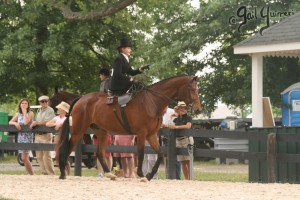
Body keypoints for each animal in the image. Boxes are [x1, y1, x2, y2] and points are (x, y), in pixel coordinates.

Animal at [56, 75, 202, 181]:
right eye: (193, 89)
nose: (198, 109)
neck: (152, 102)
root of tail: (81, 99)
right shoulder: (142, 134)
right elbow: (141, 154)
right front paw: (142, 174)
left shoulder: (151, 135)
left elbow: (160, 154)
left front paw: (149, 175)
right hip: (78, 131)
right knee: (68, 148)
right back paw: (62, 173)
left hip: (101, 132)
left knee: (100, 153)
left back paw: (109, 174)